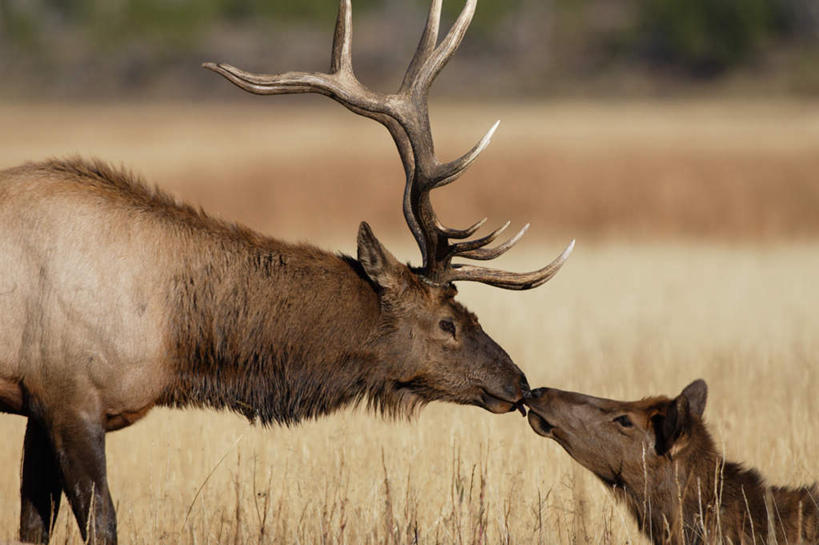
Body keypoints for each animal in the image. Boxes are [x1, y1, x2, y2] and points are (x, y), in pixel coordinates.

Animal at [0, 1, 576, 544]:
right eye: (447, 323)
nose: (518, 383)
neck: (176, 336)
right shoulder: (70, 398)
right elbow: (101, 522)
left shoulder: (40, 410)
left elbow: (32, 525)